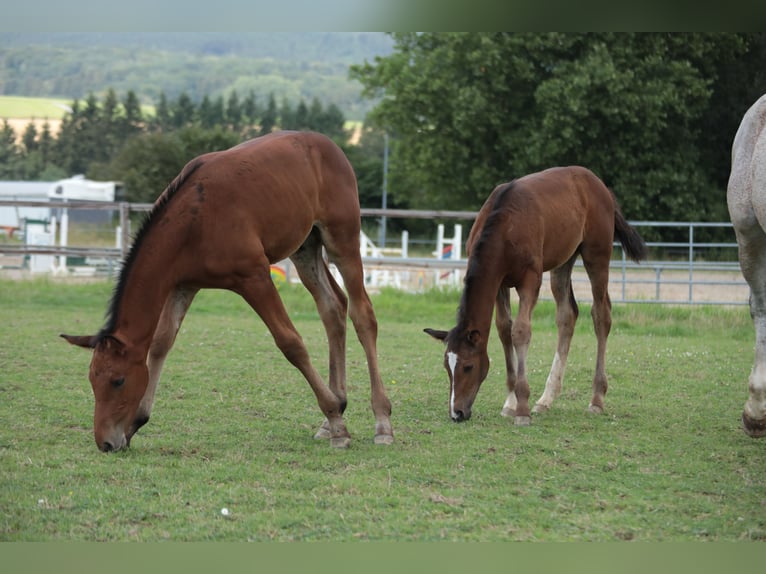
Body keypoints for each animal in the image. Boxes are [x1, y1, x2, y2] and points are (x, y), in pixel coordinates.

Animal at [62, 131, 394, 451]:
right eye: (92, 380)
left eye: (117, 381)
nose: (105, 443)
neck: (195, 219)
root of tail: (328, 145)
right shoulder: (183, 285)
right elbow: (160, 343)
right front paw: (136, 422)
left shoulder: (255, 277)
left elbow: (291, 343)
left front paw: (338, 424)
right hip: (305, 247)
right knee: (332, 307)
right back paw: (331, 414)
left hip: (342, 239)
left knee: (362, 314)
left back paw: (380, 421)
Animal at [425, 166, 646, 425]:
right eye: (446, 367)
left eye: (468, 366)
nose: (457, 413)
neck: (504, 227)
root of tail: (600, 186)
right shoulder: (498, 283)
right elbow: (504, 329)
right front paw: (511, 402)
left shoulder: (530, 281)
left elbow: (520, 331)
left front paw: (522, 407)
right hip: (563, 261)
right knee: (567, 315)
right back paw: (546, 399)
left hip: (597, 255)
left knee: (601, 315)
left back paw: (596, 399)